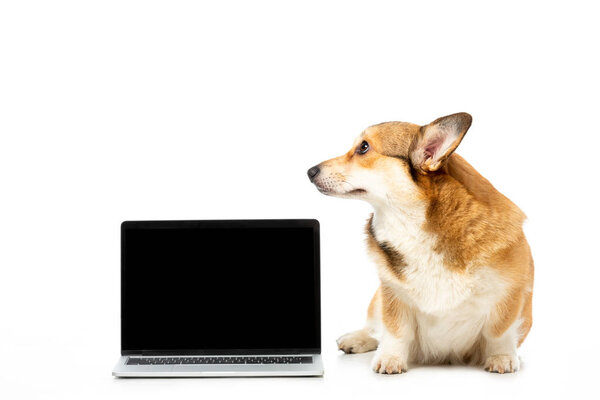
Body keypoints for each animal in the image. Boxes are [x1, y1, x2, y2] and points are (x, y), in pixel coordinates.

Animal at [310, 113, 536, 376]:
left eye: (364, 147)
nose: (309, 171)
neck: (415, 224)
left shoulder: (509, 293)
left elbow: (499, 332)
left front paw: (502, 357)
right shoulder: (391, 293)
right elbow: (395, 330)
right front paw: (390, 358)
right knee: (375, 328)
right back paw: (356, 339)